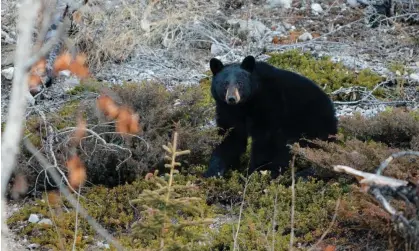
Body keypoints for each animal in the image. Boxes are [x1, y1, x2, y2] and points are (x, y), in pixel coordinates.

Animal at [205, 55, 340, 178]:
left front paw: (256, 172)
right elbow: (230, 137)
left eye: (240, 83)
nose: (232, 98)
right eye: (225, 84)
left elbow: (266, 140)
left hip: (311, 124)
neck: (245, 105)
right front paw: (213, 171)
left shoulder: (269, 105)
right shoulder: (227, 110)